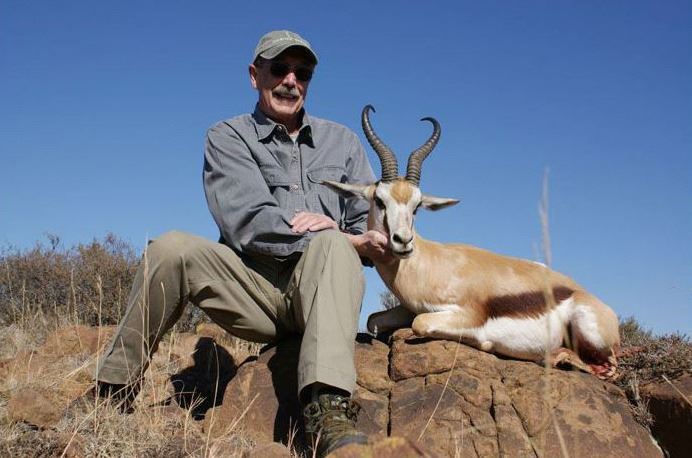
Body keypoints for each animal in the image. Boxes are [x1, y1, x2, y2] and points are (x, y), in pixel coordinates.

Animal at [323, 105, 620, 380]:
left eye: (417, 206)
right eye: (379, 200)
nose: (403, 241)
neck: (428, 265)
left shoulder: (464, 314)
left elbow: (421, 324)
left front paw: (485, 342)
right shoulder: (407, 309)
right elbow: (373, 320)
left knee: (609, 368)